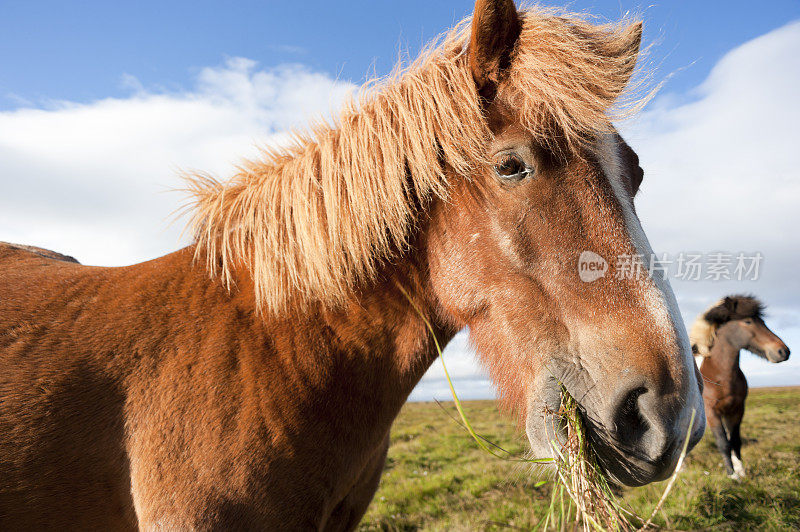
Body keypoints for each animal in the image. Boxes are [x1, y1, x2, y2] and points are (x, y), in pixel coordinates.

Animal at [692, 294, 792, 480]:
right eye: (747, 321)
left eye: (762, 321)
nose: (783, 351)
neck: (719, 374)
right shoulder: (712, 413)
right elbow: (723, 442)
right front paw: (732, 475)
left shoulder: (736, 410)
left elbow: (735, 441)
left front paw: (741, 471)